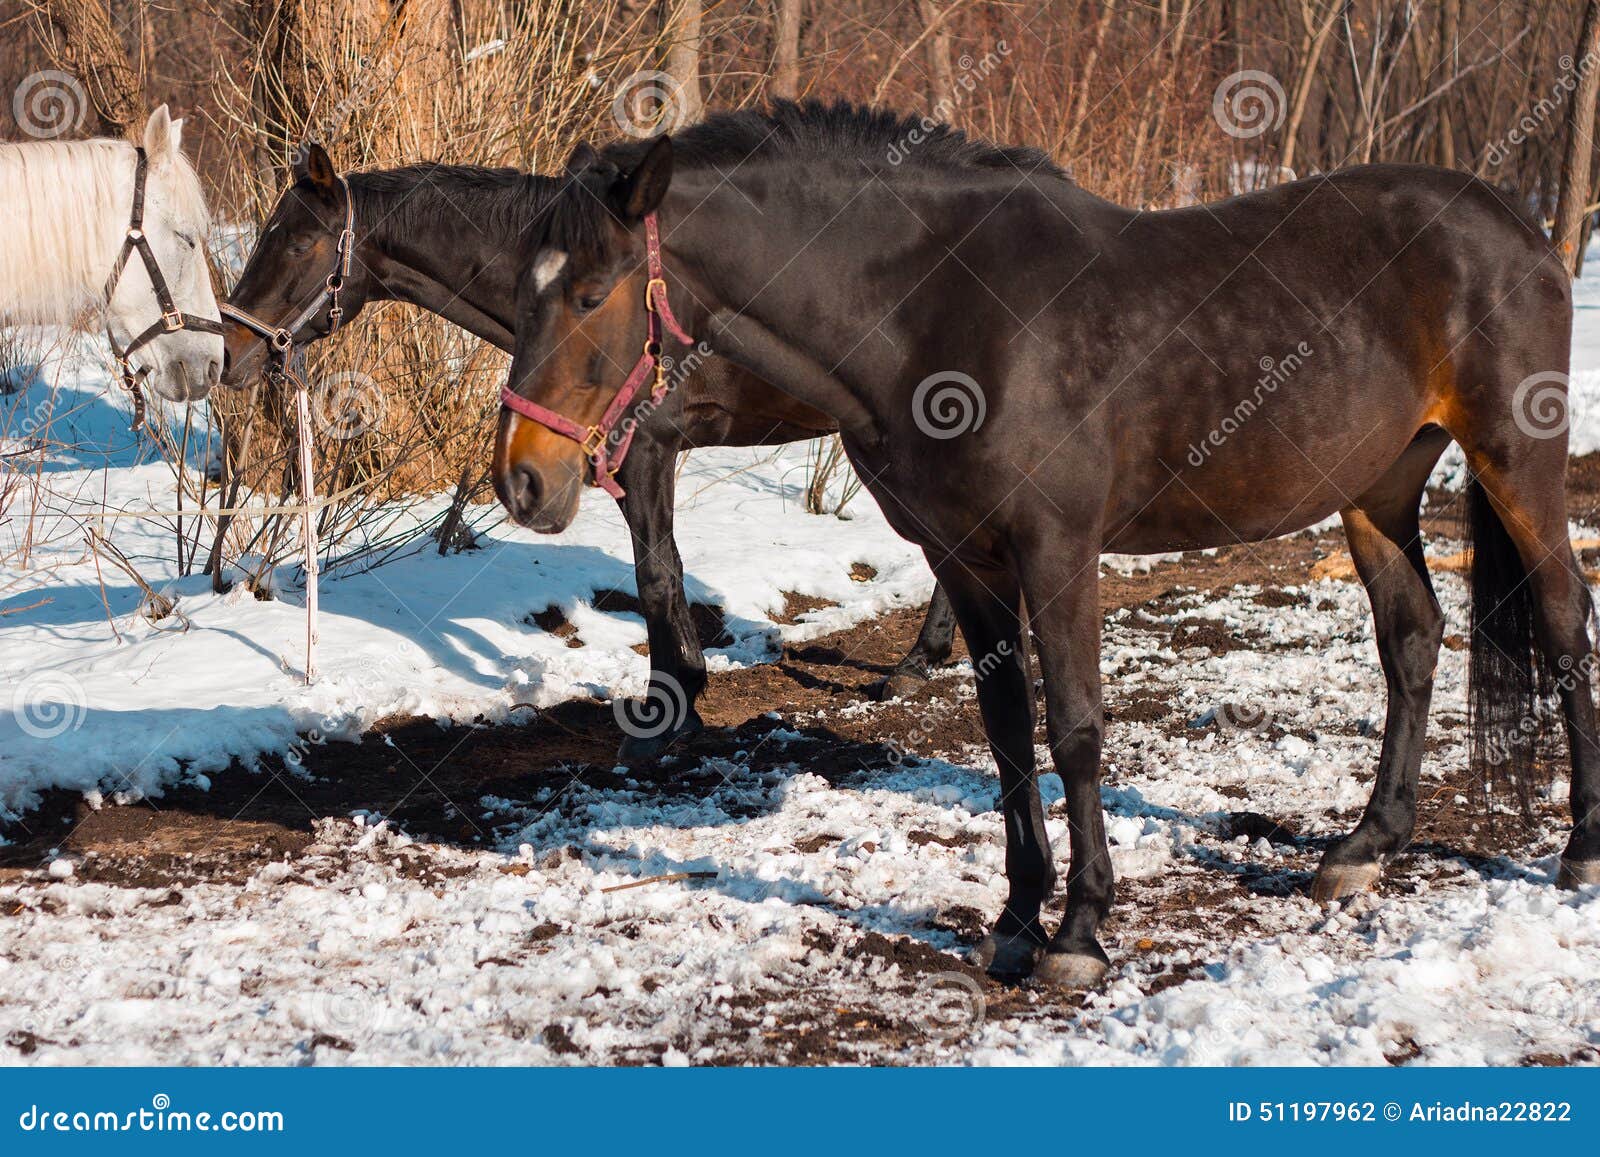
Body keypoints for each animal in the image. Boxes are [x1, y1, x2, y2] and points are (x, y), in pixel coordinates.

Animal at [217, 142, 953, 761]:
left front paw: (668, 711)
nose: (230, 351)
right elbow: (664, 572)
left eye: (301, 241)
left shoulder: (647, 449)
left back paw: (919, 663)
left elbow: (657, 575)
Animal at [492, 99, 1593, 985]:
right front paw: (1019, 918)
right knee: (1412, 638)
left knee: (1563, 622)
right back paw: (1364, 846)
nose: (522, 478)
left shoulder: (1057, 548)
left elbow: (1073, 728)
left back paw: (1578, 848)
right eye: (523, 291)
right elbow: (1005, 729)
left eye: (590, 294)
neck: (937, 316)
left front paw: (1079, 932)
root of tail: (1518, 223)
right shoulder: (965, 560)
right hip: (1377, 486)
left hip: (1516, 462)